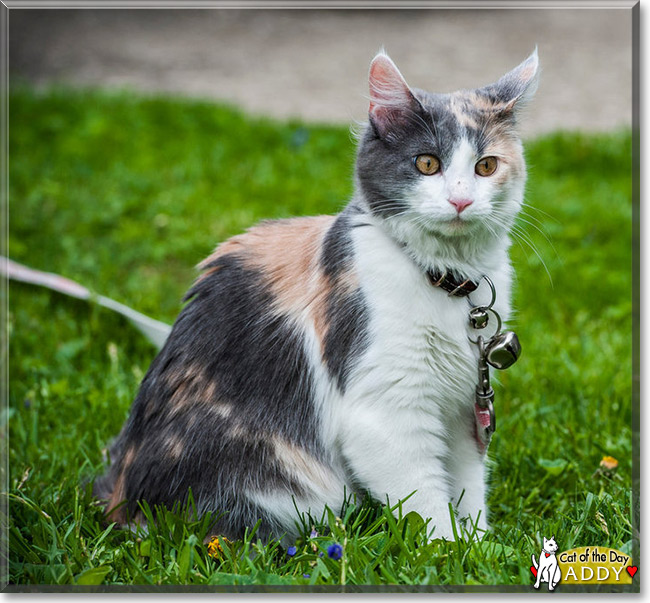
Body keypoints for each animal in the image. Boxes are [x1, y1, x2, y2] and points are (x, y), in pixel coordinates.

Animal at [95, 50, 536, 544]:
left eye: (486, 166)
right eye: (426, 164)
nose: (461, 201)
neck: (450, 281)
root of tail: (118, 496)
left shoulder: (462, 407)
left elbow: (468, 485)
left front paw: (480, 543)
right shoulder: (384, 412)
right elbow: (426, 502)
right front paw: (450, 549)